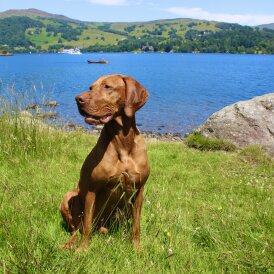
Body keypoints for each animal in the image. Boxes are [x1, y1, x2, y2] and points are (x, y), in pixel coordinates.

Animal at [60, 74, 150, 252]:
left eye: (107, 86)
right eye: (91, 87)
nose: (78, 99)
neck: (123, 140)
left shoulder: (139, 190)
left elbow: (136, 226)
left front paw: (137, 248)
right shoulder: (92, 190)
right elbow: (87, 225)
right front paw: (83, 250)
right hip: (68, 197)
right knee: (77, 229)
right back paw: (70, 244)